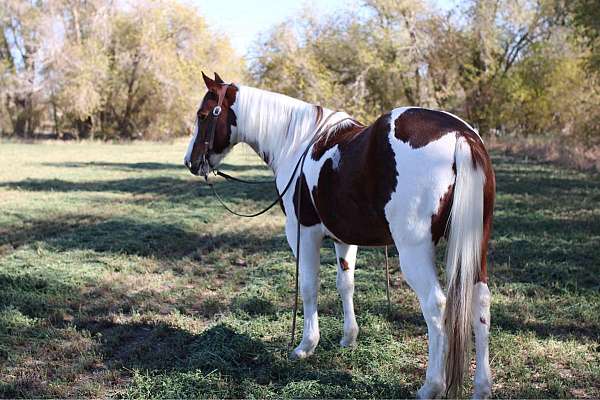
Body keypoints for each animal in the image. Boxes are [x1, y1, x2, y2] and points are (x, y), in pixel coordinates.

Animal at [185, 73, 494, 398]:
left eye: (203, 115)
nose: (191, 161)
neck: (296, 143)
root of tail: (461, 136)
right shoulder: (344, 238)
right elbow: (345, 284)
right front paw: (349, 338)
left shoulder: (303, 233)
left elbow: (309, 287)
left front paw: (305, 346)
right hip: (476, 248)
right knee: (480, 302)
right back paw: (481, 387)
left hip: (414, 252)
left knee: (435, 305)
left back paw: (431, 386)